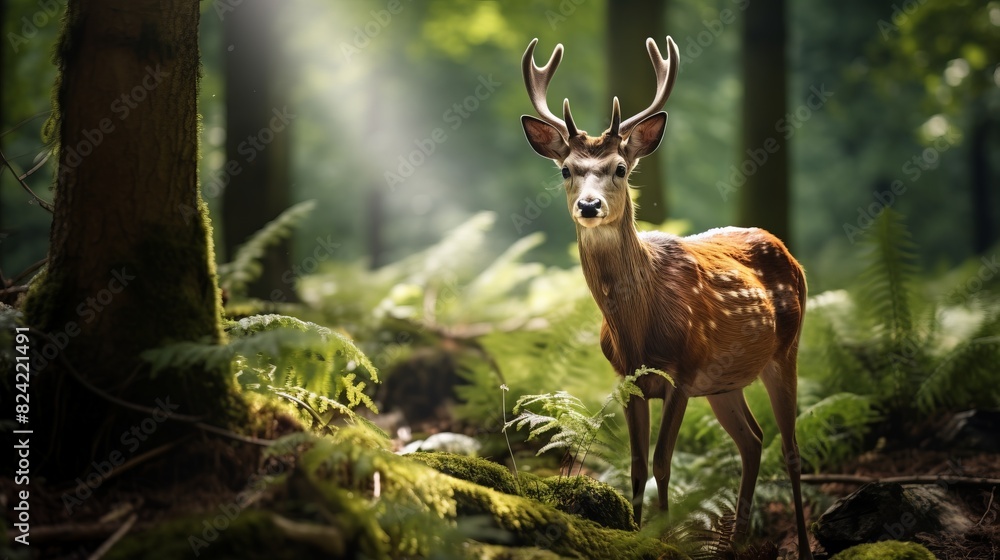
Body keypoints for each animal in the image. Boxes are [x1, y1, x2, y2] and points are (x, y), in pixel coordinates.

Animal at [520, 36, 813, 559]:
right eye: (566, 170)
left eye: (619, 168)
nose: (589, 205)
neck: (638, 330)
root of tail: (787, 251)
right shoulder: (626, 377)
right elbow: (637, 466)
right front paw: (634, 534)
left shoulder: (681, 371)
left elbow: (662, 464)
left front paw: (666, 540)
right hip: (724, 382)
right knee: (753, 440)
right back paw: (736, 543)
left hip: (786, 349)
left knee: (791, 448)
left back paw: (800, 543)